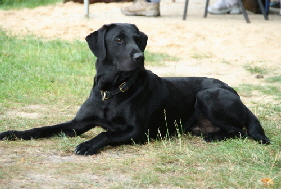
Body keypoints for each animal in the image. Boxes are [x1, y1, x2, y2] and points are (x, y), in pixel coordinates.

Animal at [1, 23, 270, 155]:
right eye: (119, 39)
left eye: (138, 39)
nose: (139, 57)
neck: (111, 91)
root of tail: (235, 92)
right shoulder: (77, 124)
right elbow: (43, 128)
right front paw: (13, 133)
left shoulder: (137, 131)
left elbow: (105, 134)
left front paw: (87, 145)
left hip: (208, 95)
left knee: (240, 131)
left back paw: (213, 136)